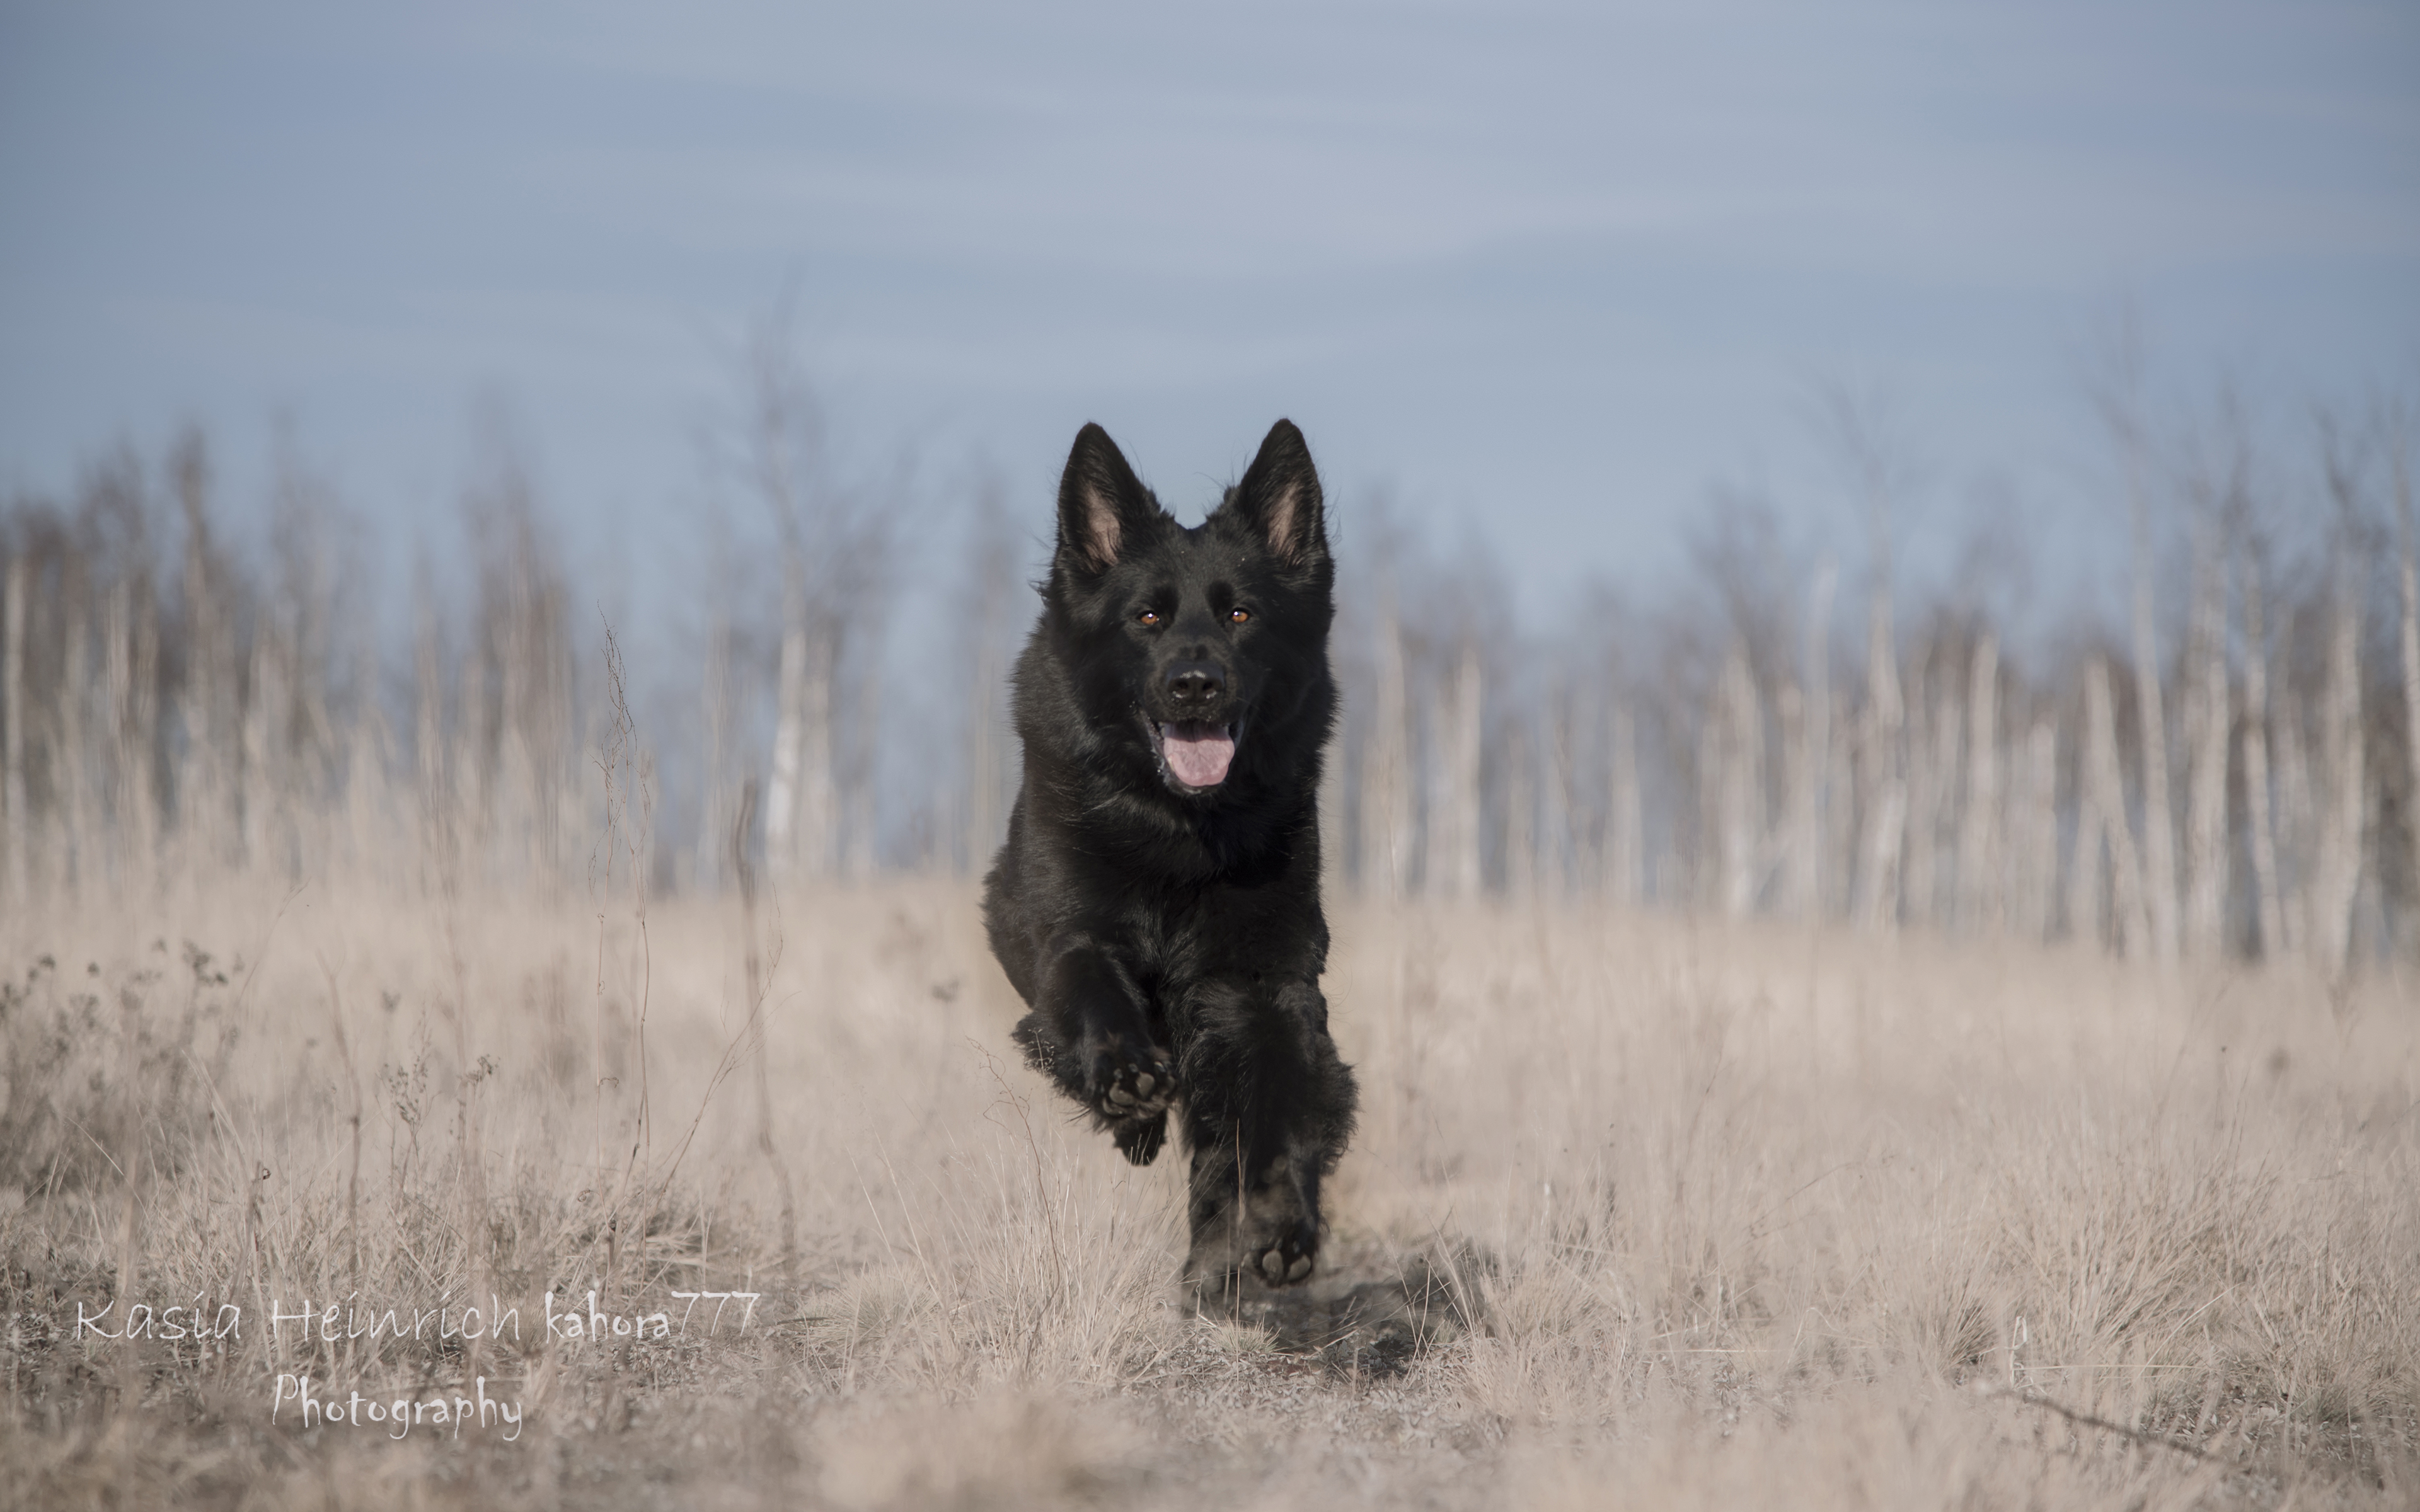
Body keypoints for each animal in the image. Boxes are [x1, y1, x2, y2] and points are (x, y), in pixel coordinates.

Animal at [982, 418, 1364, 1286]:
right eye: (1148, 618)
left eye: (1243, 615)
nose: (1196, 684)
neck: (1177, 835)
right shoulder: (1071, 935)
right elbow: (1091, 985)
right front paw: (1126, 1075)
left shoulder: (1260, 986)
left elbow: (1281, 1106)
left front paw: (1281, 1224)